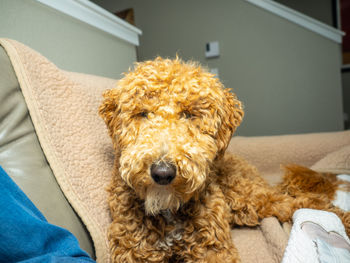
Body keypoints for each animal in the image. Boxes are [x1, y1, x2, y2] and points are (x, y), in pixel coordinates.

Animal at [99, 56, 350, 262]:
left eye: (189, 114)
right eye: (142, 114)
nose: (162, 173)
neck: (169, 210)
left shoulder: (214, 248)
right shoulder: (132, 250)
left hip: (249, 197)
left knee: (310, 203)